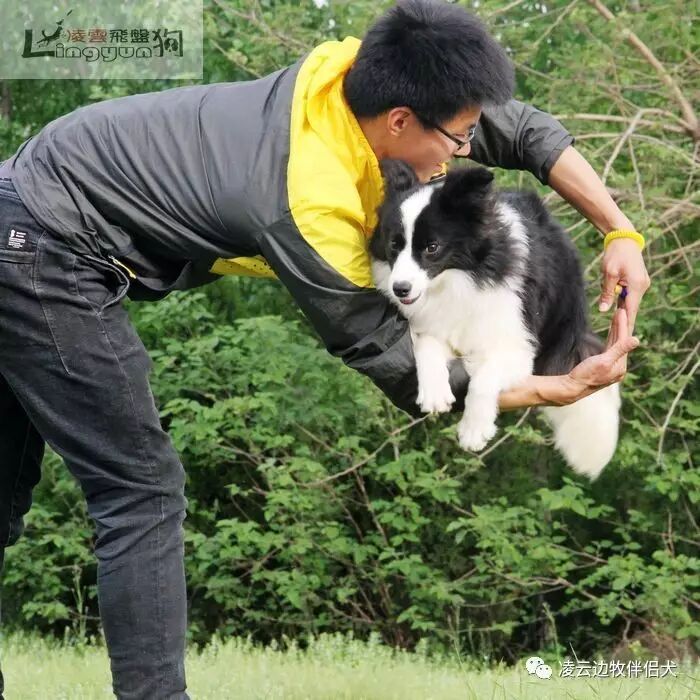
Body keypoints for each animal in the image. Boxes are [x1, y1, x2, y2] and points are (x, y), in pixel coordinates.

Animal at [369, 159, 621, 479]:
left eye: (432, 247)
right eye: (394, 245)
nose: (399, 288)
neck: (456, 280)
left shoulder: (515, 344)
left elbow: (484, 377)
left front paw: (474, 431)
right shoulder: (432, 324)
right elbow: (426, 343)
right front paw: (435, 392)